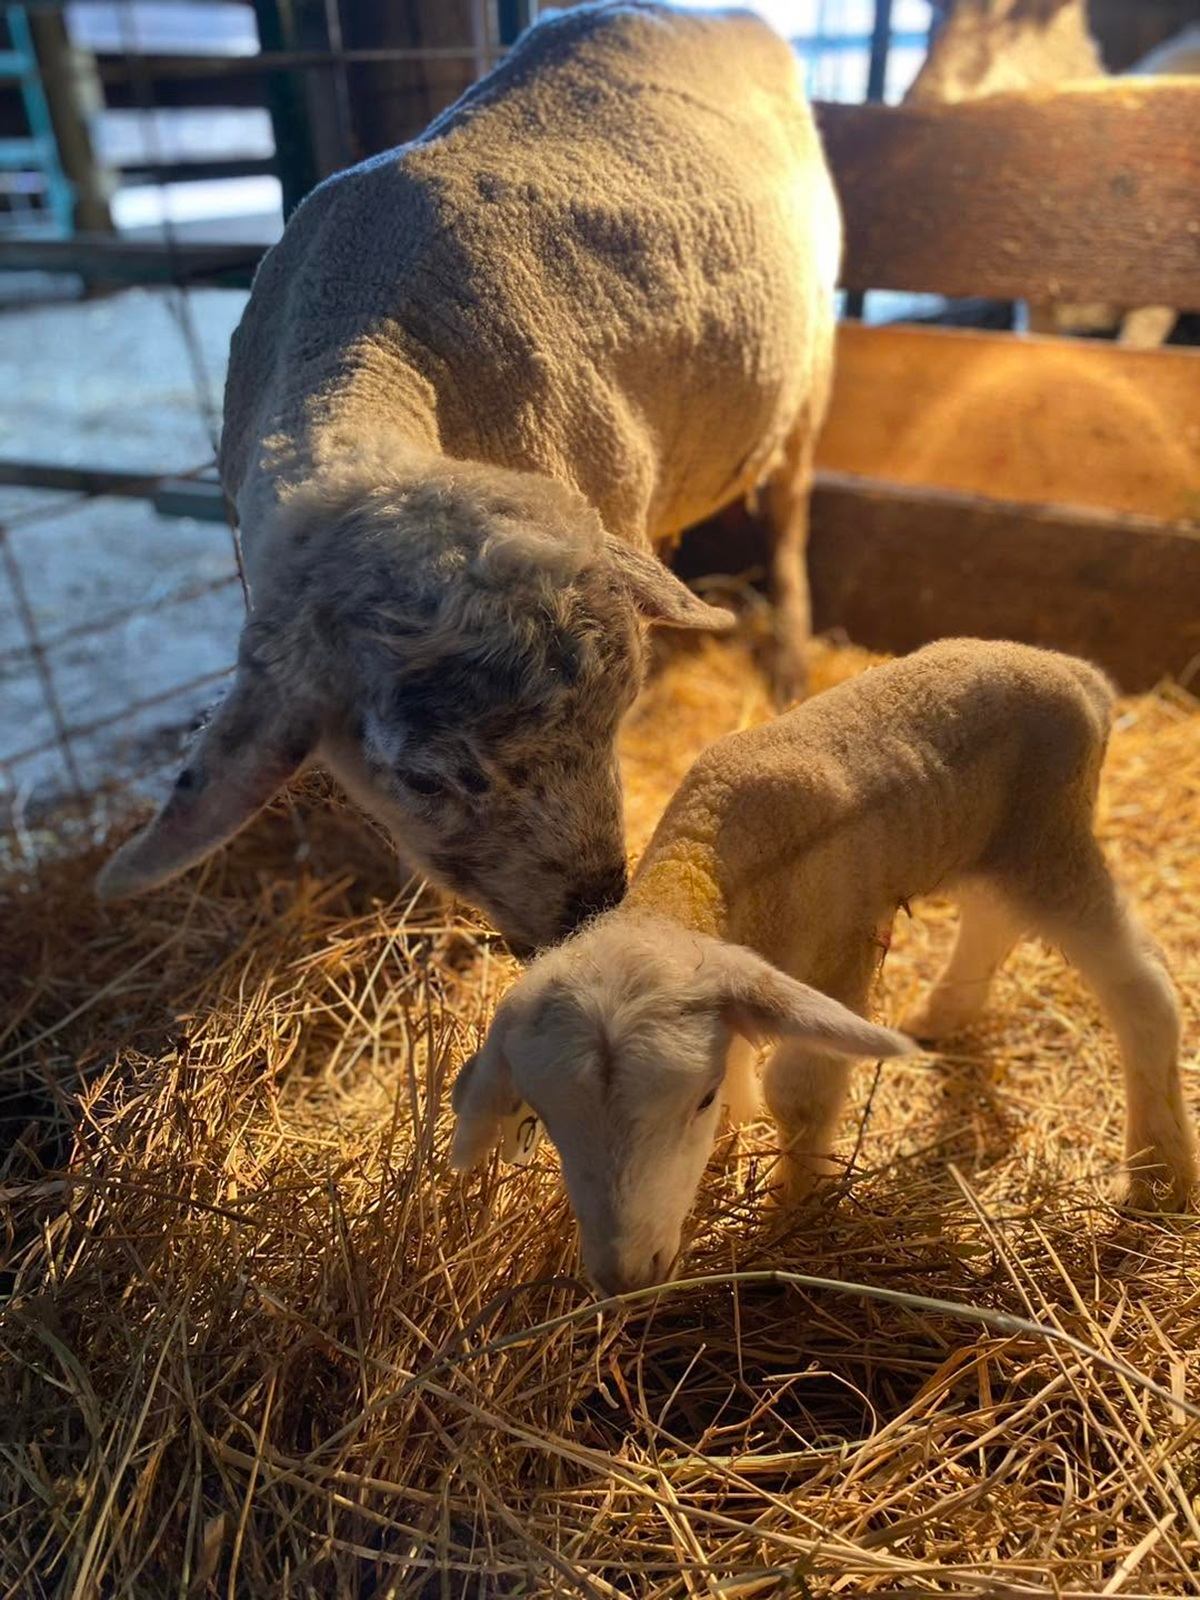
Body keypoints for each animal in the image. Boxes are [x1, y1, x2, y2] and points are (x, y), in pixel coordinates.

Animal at [95, 1, 843, 958]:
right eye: (425, 779)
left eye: (620, 715)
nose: (591, 911)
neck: (366, 343)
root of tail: (717, 18)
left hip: (809, 369)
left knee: (788, 520)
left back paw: (789, 656)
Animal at [451, 639, 1197, 1296]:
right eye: (547, 1121)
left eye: (697, 1098)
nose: (625, 1278)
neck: (707, 854)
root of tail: (1083, 676)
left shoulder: (843, 947)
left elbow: (798, 1091)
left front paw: (791, 1212)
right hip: (984, 841)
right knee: (992, 919)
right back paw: (942, 1014)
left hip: (1049, 834)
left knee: (1145, 986)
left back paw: (1159, 1176)